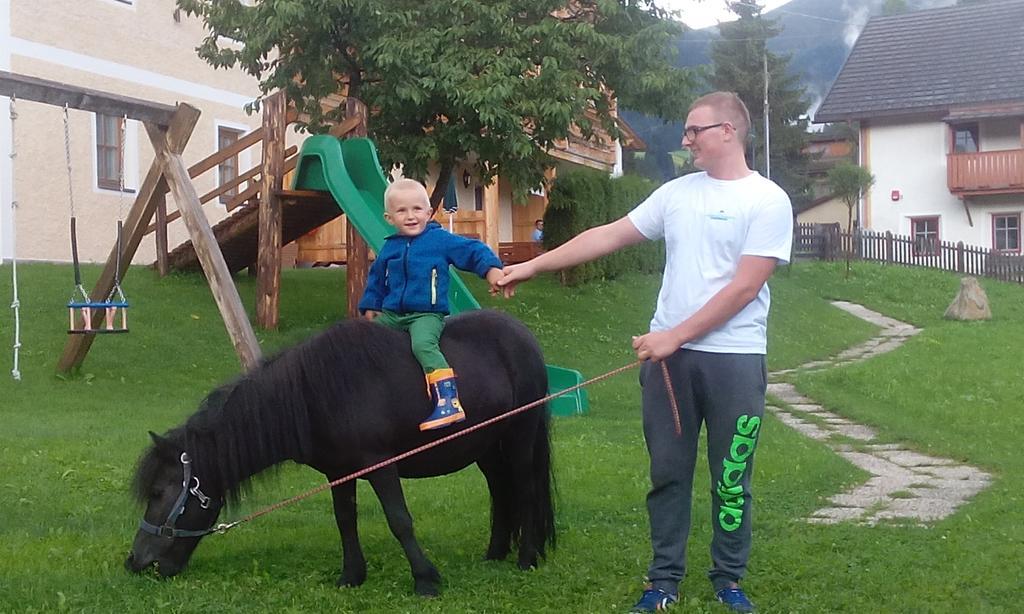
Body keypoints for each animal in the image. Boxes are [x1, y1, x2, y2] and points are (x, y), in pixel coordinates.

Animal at [130, 311, 561, 593]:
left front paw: (425, 579)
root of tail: (523, 336)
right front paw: (352, 576)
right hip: (486, 446)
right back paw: (495, 552)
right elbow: (345, 520)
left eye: (159, 493)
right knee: (501, 490)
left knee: (525, 489)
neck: (316, 394)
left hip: (521, 436)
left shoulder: (380, 467)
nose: (135, 562)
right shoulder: (339, 473)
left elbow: (399, 520)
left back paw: (526, 557)